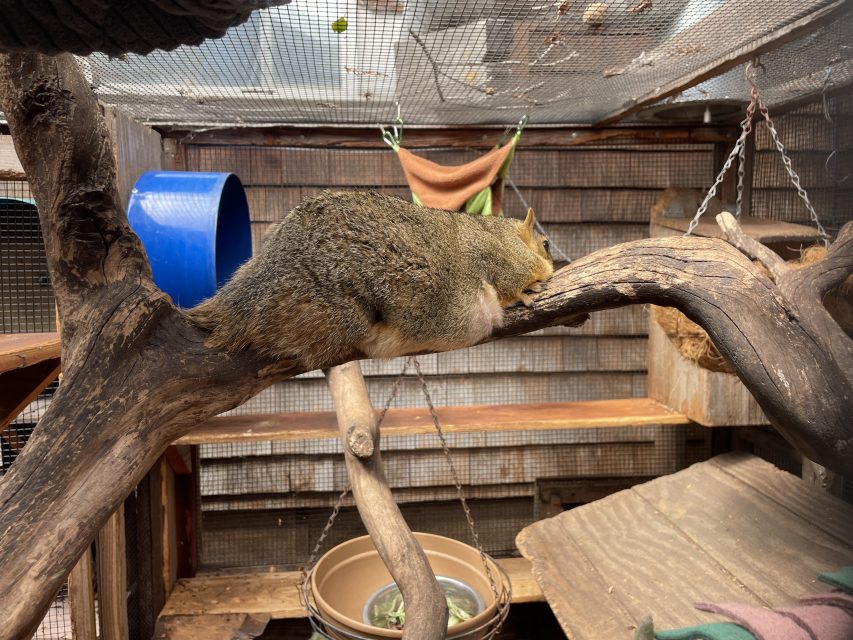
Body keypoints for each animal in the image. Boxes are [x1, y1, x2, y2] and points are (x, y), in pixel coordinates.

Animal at [185, 190, 553, 370]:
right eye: (547, 244)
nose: (551, 260)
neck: (500, 232)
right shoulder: (500, 256)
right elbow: (511, 280)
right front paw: (528, 289)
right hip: (331, 311)